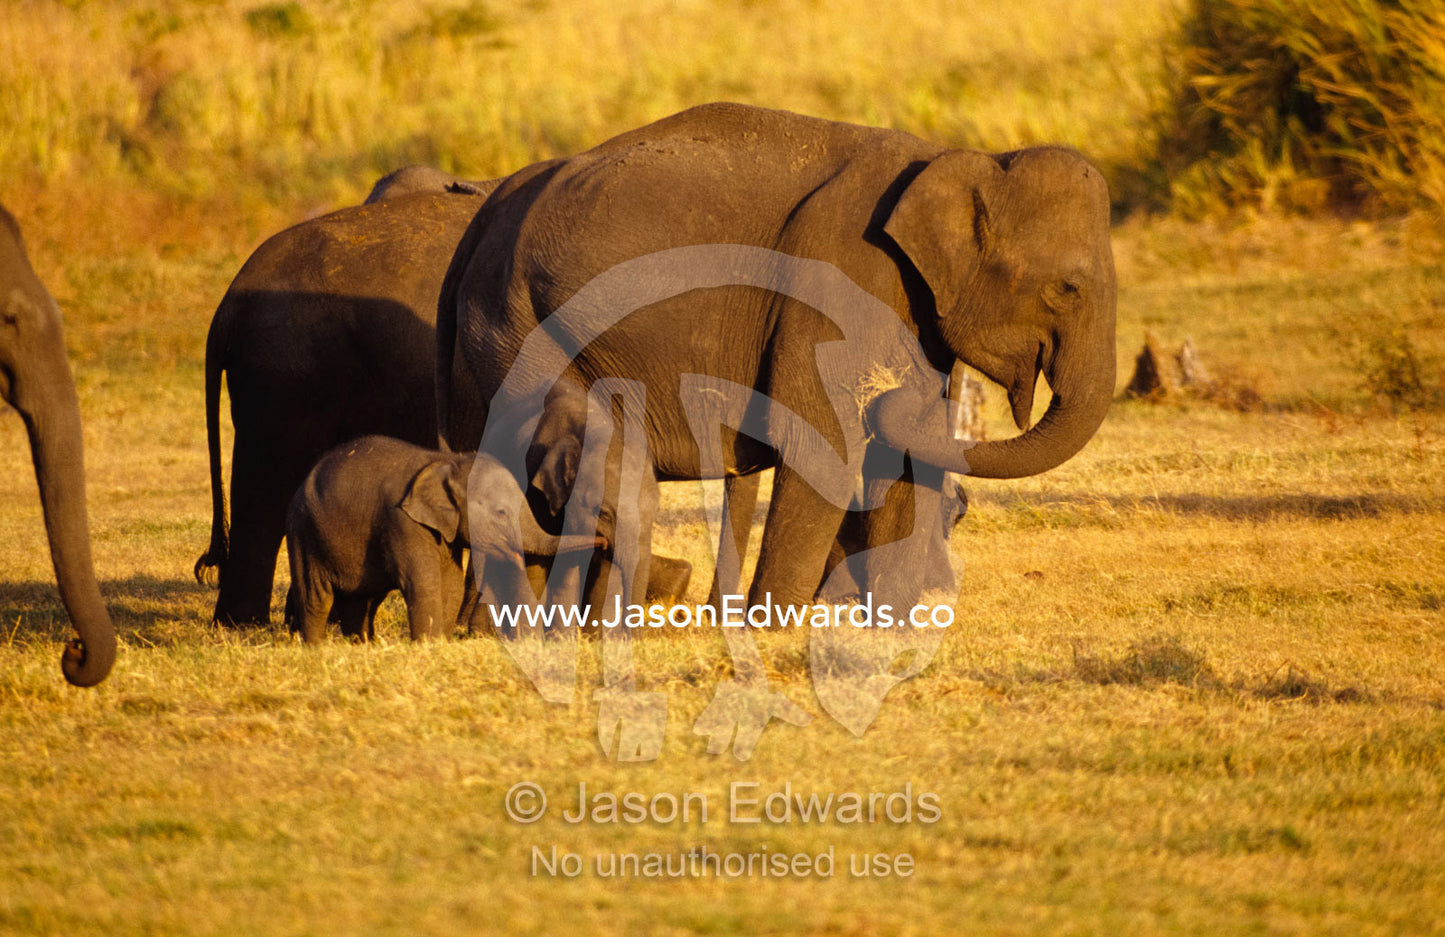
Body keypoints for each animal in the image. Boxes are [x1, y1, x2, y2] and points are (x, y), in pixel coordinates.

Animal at [437, 103, 1117, 613]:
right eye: (1067, 289)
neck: (960, 158)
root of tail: (486, 213)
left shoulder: (915, 315)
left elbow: (908, 453)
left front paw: (888, 626)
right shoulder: (839, 284)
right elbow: (823, 445)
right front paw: (777, 627)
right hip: (516, 325)